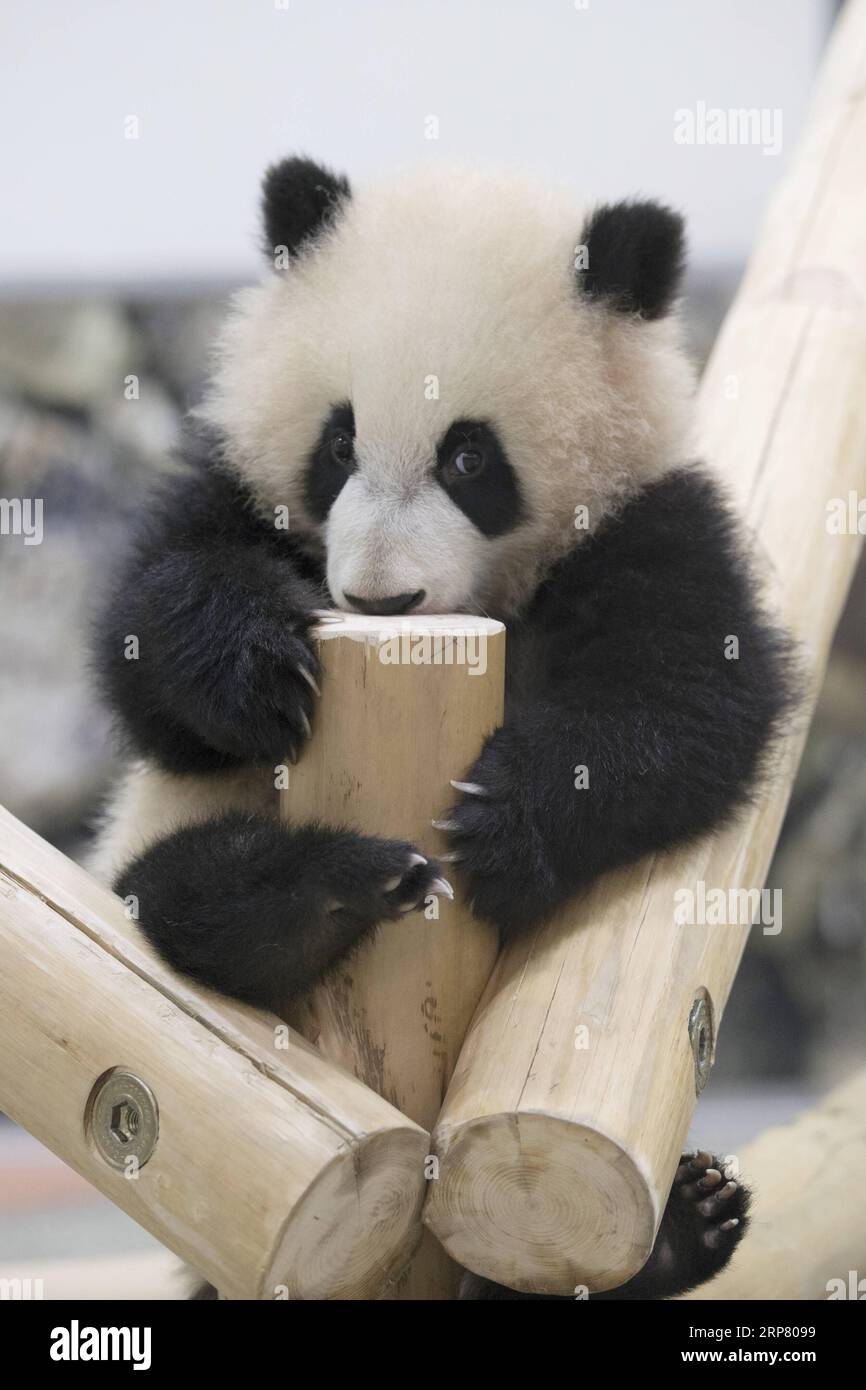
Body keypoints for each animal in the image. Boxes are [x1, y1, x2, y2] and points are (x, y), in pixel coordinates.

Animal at [91, 156, 795, 1301]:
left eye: (470, 459)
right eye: (337, 444)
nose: (380, 601)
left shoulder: (653, 522)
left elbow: (690, 702)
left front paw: (507, 816)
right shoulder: (232, 483)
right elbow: (148, 647)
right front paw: (252, 665)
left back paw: (683, 1227)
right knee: (183, 896)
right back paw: (325, 888)